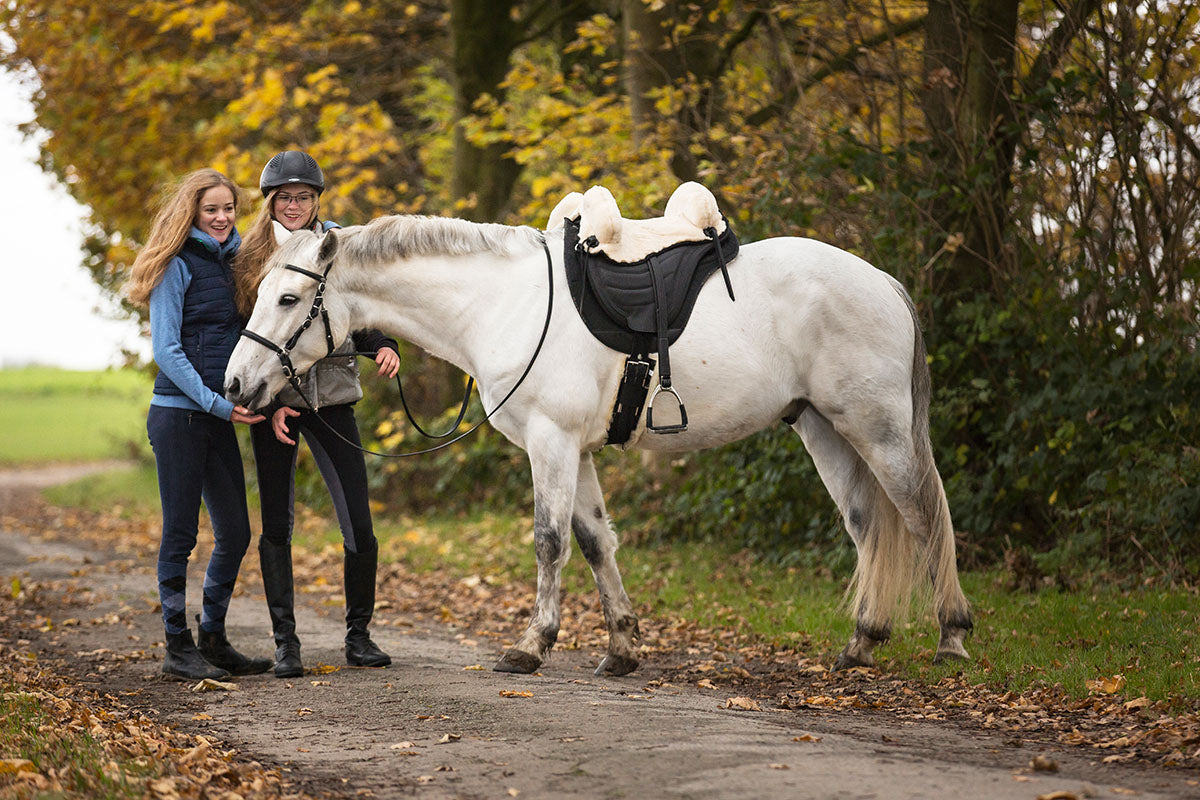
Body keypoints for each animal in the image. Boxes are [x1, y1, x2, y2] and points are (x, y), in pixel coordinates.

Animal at [225, 212, 974, 676]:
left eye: (287, 300)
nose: (235, 383)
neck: (502, 303)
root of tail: (884, 282)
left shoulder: (550, 443)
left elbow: (550, 540)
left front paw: (532, 645)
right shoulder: (576, 450)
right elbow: (593, 542)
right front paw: (621, 647)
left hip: (877, 429)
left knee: (922, 517)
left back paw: (952, 638)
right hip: (823, 428)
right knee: (869, 526)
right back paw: (862, 644)